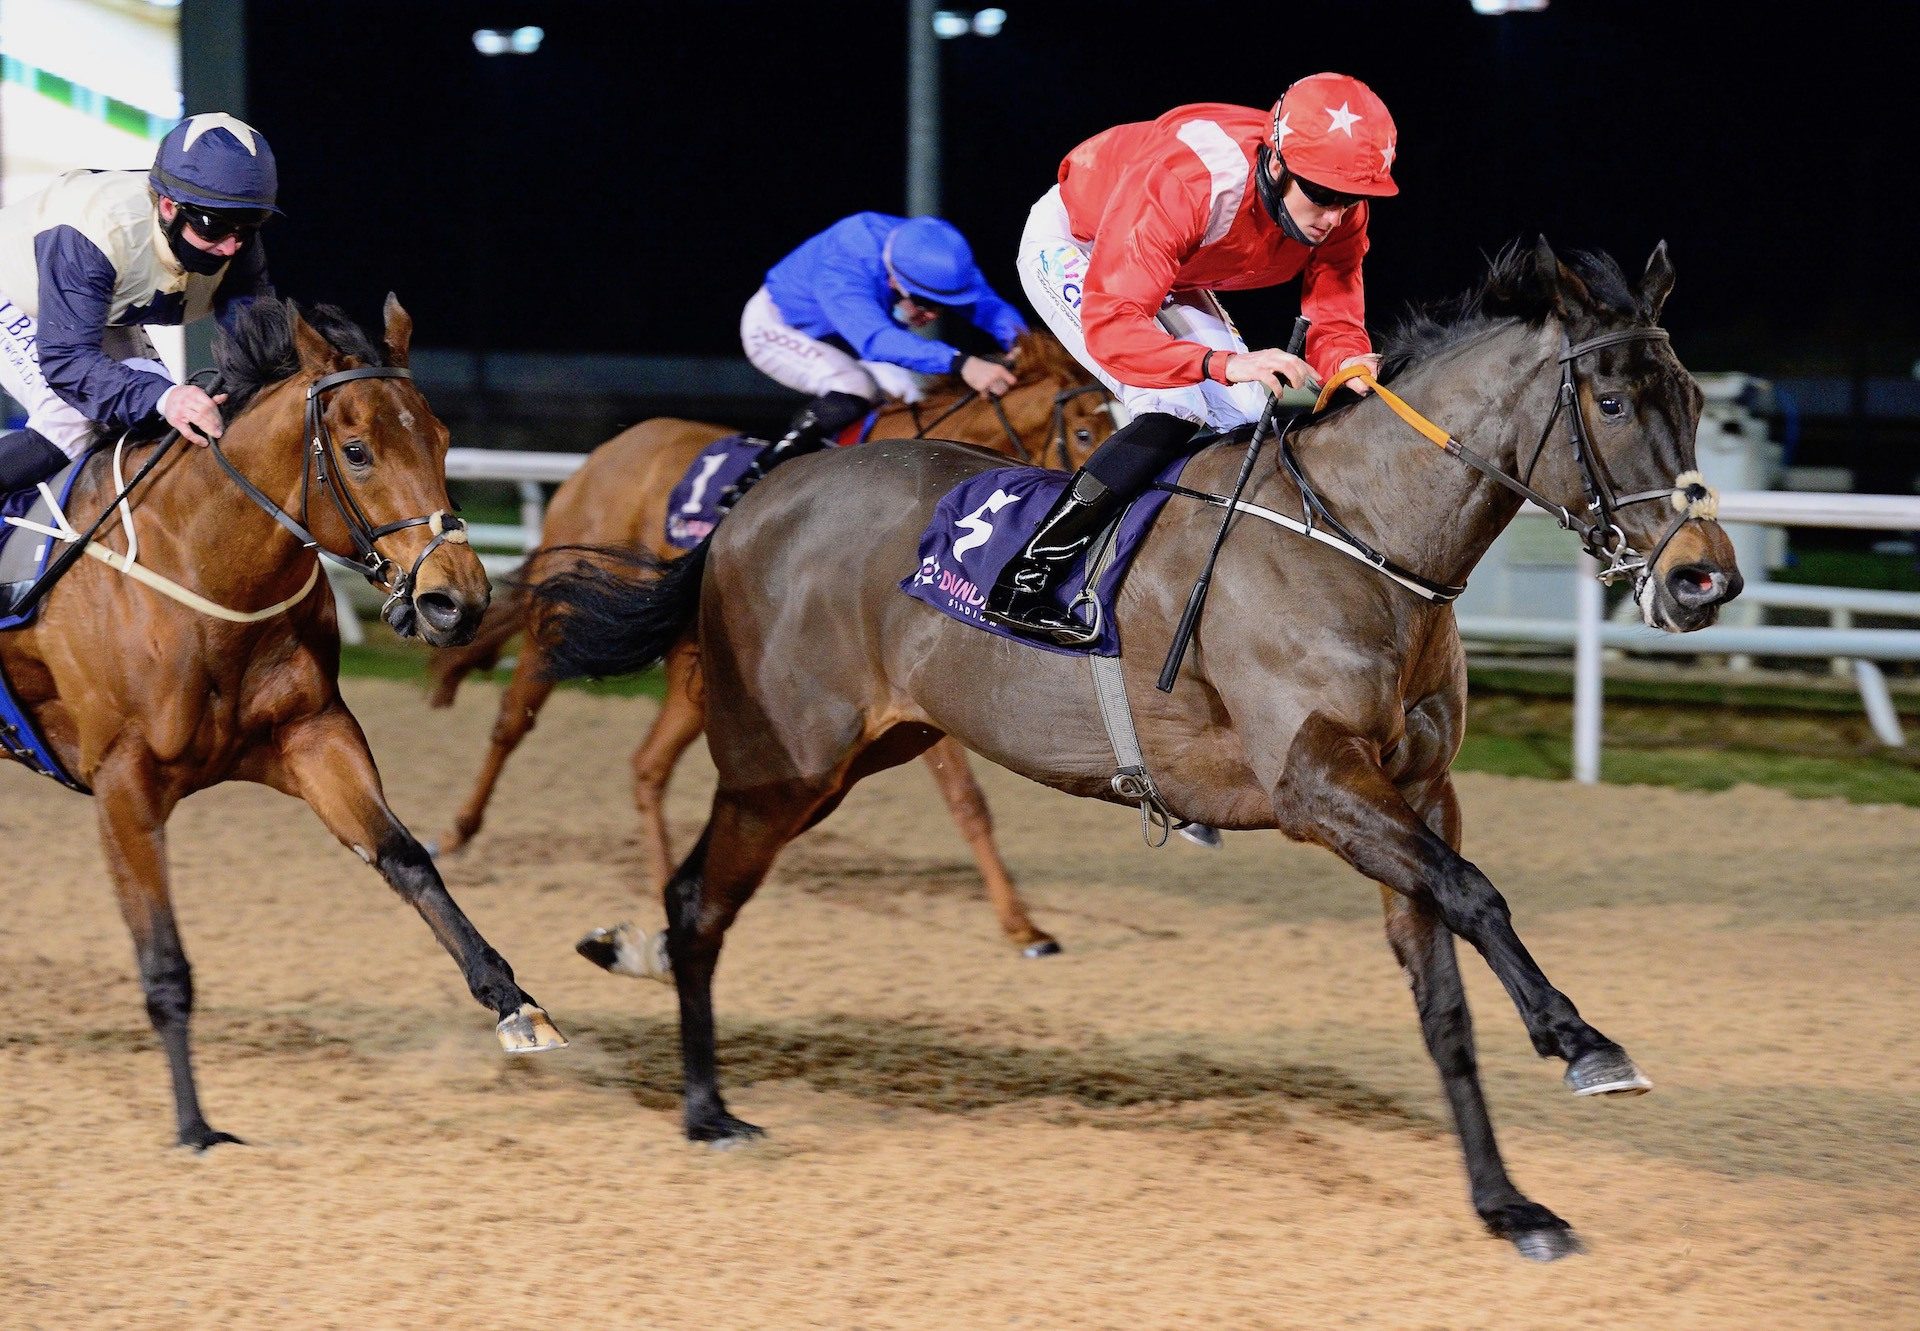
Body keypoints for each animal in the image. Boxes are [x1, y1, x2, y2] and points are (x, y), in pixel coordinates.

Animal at [1, 295, 560, 1144]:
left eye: (441, 440)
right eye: (357, 451)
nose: (456, 600)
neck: (197, 564)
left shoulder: (312, 732)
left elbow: (406, 859)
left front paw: (514, 1003)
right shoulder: (123, 780)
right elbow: (164, 958)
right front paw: (196, 1125)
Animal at [420, 326, 1113, 960]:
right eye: (1083, 433)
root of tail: (602, 455)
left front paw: (1023, 923)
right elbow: (966, 798)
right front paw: (1023, 926)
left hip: (700, 659)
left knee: (648, 765)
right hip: (567, 612)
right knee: (514, 719)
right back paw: (455, 833)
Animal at [533, 241, 1751, 1259]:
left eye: (1694, 400)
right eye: (1610, 400)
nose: (1706, 578)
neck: (1364, 538)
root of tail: (749, 504)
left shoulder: (1417, 793)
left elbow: (1444, 991)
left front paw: (1508, 1203)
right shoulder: (1319, 787)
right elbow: (1479, 893)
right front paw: (1582, 1039)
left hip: (852, 757)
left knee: (700, 890)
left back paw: (642, 971)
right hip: (781, 757)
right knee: (698, 896)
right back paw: (705, 1105)